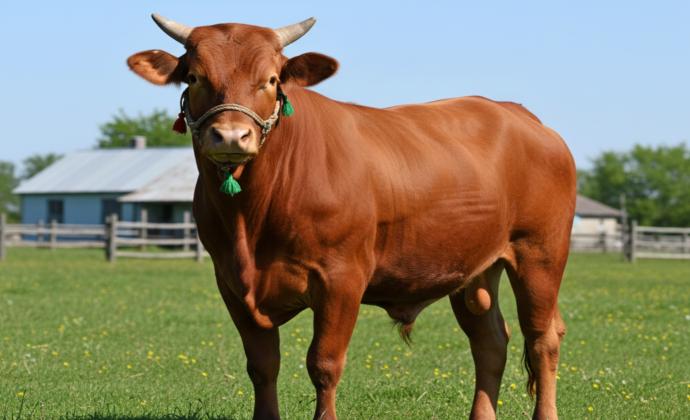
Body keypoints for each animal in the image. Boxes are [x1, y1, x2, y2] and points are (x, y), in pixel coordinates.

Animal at [127, 14, 576, 420]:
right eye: (194, 78)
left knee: (542, 339)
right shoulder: (233, 284)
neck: (250, 219)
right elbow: (262, 366)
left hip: (540, 254)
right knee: (490, 342)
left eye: (271, 80)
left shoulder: (341, 279)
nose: (231, 136)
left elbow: (324, 364)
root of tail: (521, 115)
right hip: (475, 268)